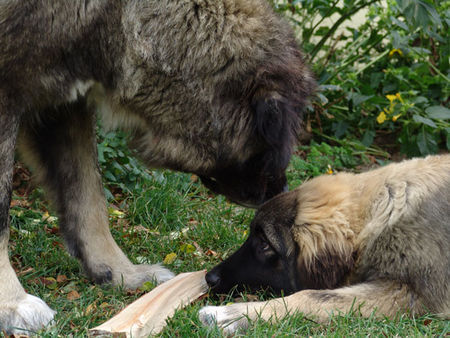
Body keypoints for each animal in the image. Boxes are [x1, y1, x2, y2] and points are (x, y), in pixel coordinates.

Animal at [0, 0, 314, 332]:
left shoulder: (65, 101)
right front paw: (12, 303)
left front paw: (118, 272)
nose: (282, 191)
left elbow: (88, 197)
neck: (120, 17)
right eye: (274, 136)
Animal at [200, 154, 450, 334]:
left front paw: (230, 315)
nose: (209, 278)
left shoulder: (412, 294)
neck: (382, 210)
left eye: (264, 244)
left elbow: (312, 296)